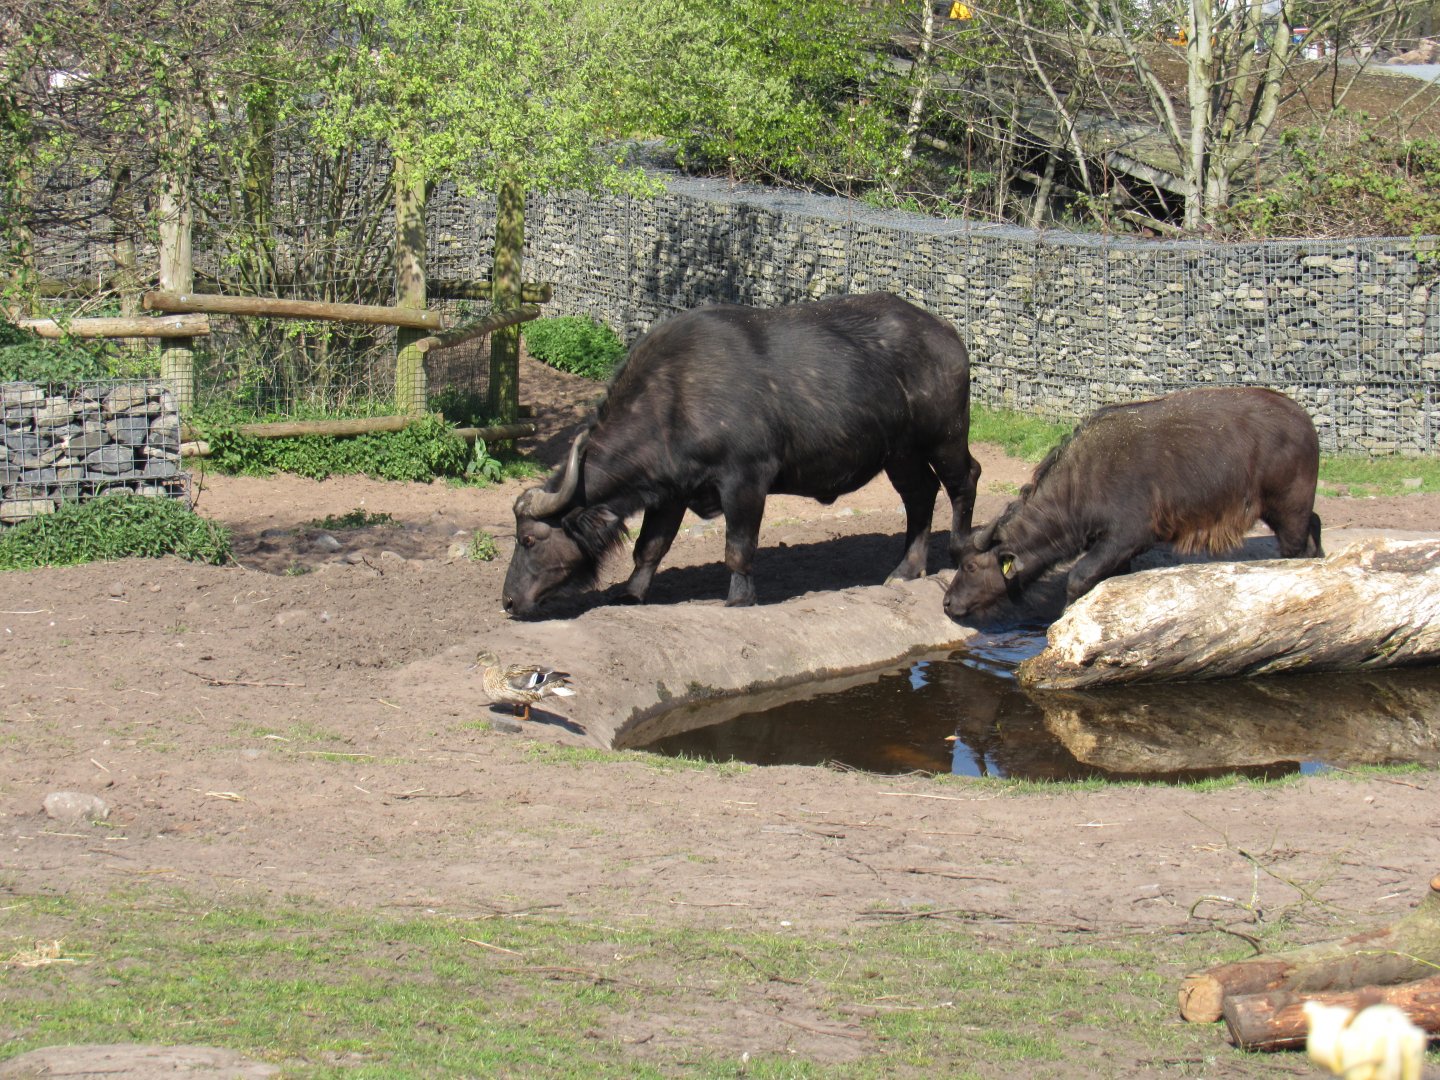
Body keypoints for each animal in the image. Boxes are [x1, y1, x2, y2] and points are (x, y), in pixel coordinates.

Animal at [502, 292, 979, 617]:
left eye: (529, 540)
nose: (507, 600)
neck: (673, 396)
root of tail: (948, 335)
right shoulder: (670, 491)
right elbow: (650, 547)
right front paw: (631, 593)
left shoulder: (745, 481)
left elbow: (739, 547)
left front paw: (739, 598)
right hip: (900, 454)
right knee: (920, 495)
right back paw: (906, 568)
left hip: (945, 437)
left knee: (964, 480)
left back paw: (958, 551)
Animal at [942, 386, 1324, 621]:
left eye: (971, 567)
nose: (947, 603)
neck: (1082, 482)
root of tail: (1303, 420)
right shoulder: (1115, 551)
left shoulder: (1125, 538)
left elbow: (1078, 579)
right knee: (1316, 526)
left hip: (1289, 510)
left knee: (1296, 551)